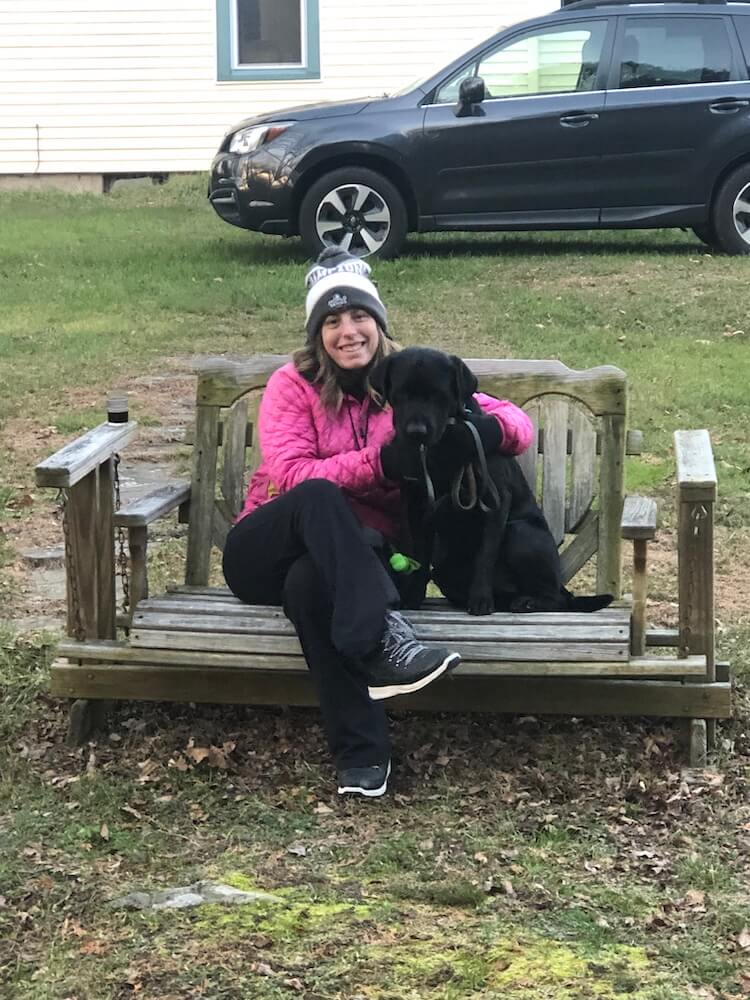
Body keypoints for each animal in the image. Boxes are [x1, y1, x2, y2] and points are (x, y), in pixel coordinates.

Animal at [368, 352, 612, 616]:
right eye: (400, 393)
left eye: (439, 395)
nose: (416, 431)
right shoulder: (417, 505)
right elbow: (420, 556)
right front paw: (413, 596)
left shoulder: (495, 500)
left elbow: (485, 555)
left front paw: (480, 600)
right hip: (445, 569)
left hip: (521, 532)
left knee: (556, 598)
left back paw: (528, 601)